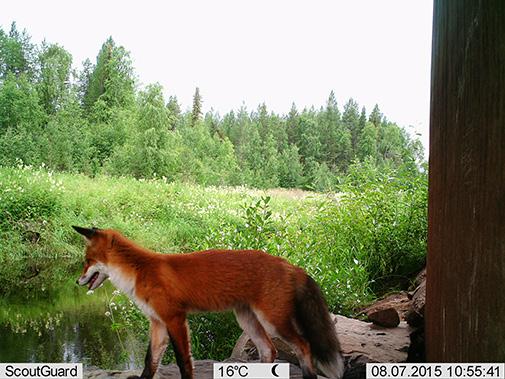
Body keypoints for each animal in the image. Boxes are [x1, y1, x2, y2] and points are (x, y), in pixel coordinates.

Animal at [74, 227, 342, 378]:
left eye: (87, 261)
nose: (77, 281)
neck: (141, 272)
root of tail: (290, 265)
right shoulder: (158, 323)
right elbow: (150, 362)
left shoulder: (175, 319)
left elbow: (183, 363)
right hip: (247, 320)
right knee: (269, 350)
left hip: (274, 321)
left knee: (304, 345)